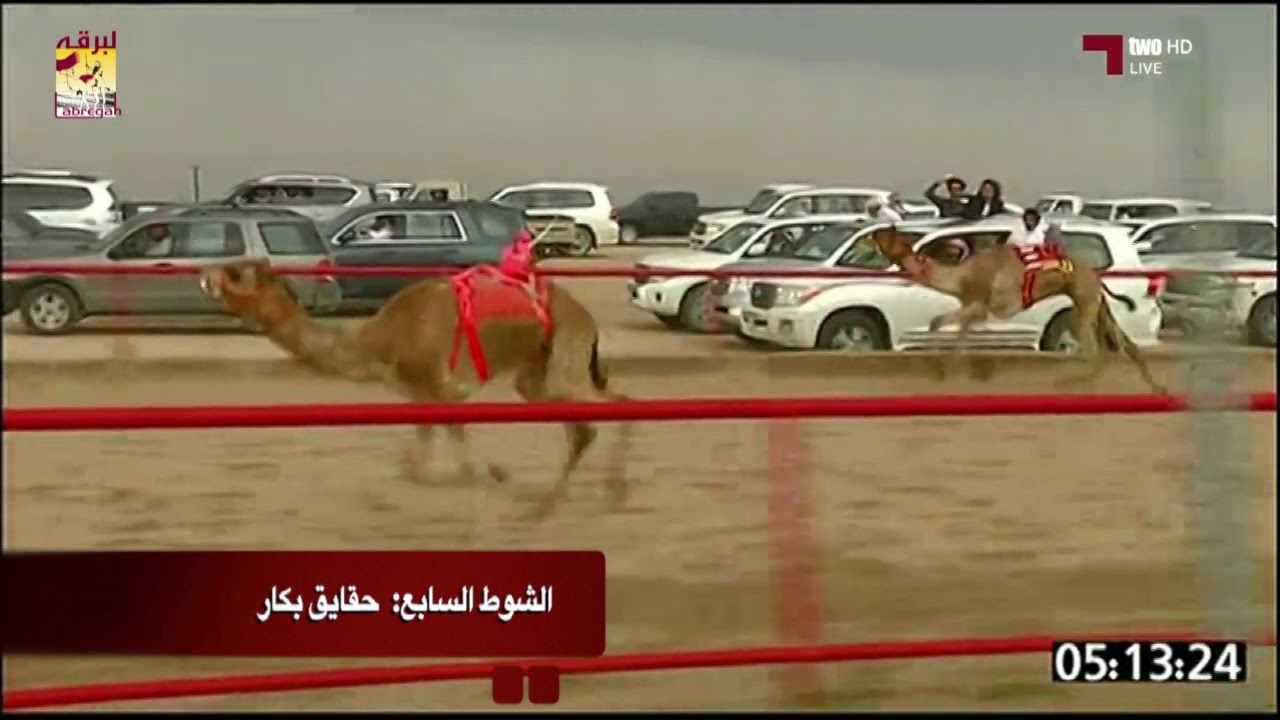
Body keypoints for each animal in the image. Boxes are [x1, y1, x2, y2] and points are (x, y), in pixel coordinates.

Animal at [198, 258, 634, 521]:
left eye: (234, 273)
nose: (205, 274)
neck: (381, 340)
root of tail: (587, 316)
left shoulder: (443, 389)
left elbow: (461, 465)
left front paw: (496, 475)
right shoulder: (422, 397)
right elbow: (413, 469)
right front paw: (494, 475)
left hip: (565, 352)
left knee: (611, 408)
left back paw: (589, 498)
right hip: (536, 372)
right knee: (584, 423)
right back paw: (566, 498)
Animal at [868, 226, 1165, 393]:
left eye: (887, 236)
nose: (872, 233)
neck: (962, 276)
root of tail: (1094, 274)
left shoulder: (981, 304)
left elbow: (943, 324)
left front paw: (943, 370)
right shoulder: (972, 306)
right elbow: (948, 326)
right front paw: (946, 371)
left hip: (1084, 299)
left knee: (1094, 349)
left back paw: (1072, 385)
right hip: (1094, 301)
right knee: (1123, 344)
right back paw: (1156, 388)